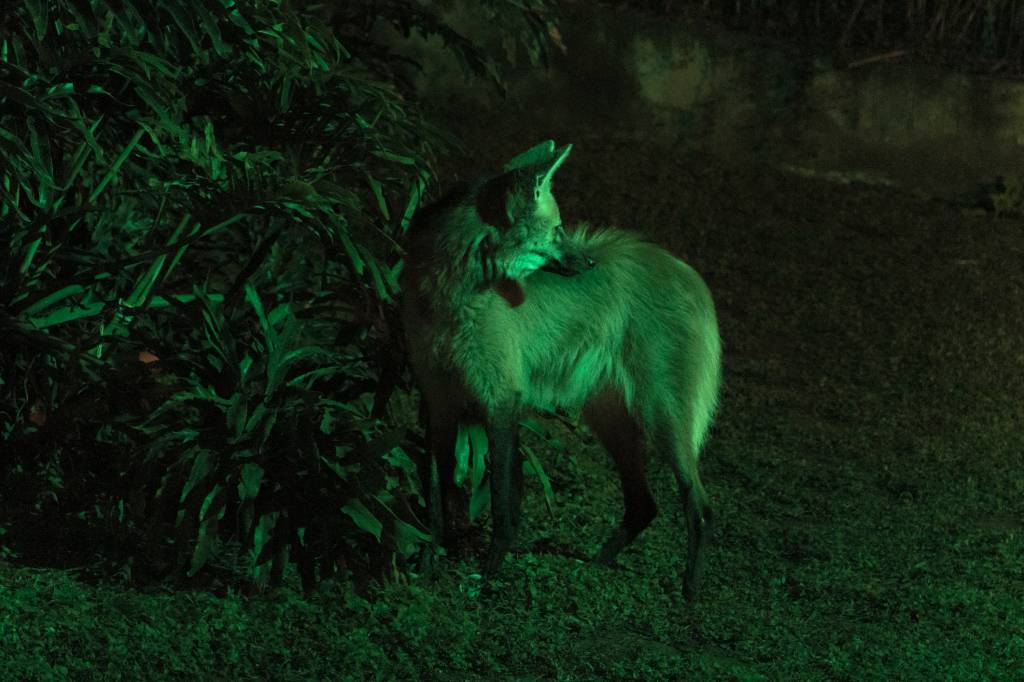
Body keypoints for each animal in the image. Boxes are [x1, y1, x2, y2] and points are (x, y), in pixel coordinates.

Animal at [397, 140, 720, 598]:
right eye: (556, 230)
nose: (588, 264)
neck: (451, 294)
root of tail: (688, 272)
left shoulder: (501, 398)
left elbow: (503, 502)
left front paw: (490, 574)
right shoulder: (438, 400)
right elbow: (437, 502)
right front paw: (427, 566)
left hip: (661, 414)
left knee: (700, 505)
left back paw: (689, 595)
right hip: (610, 418)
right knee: (644, 505)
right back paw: (596, 567)